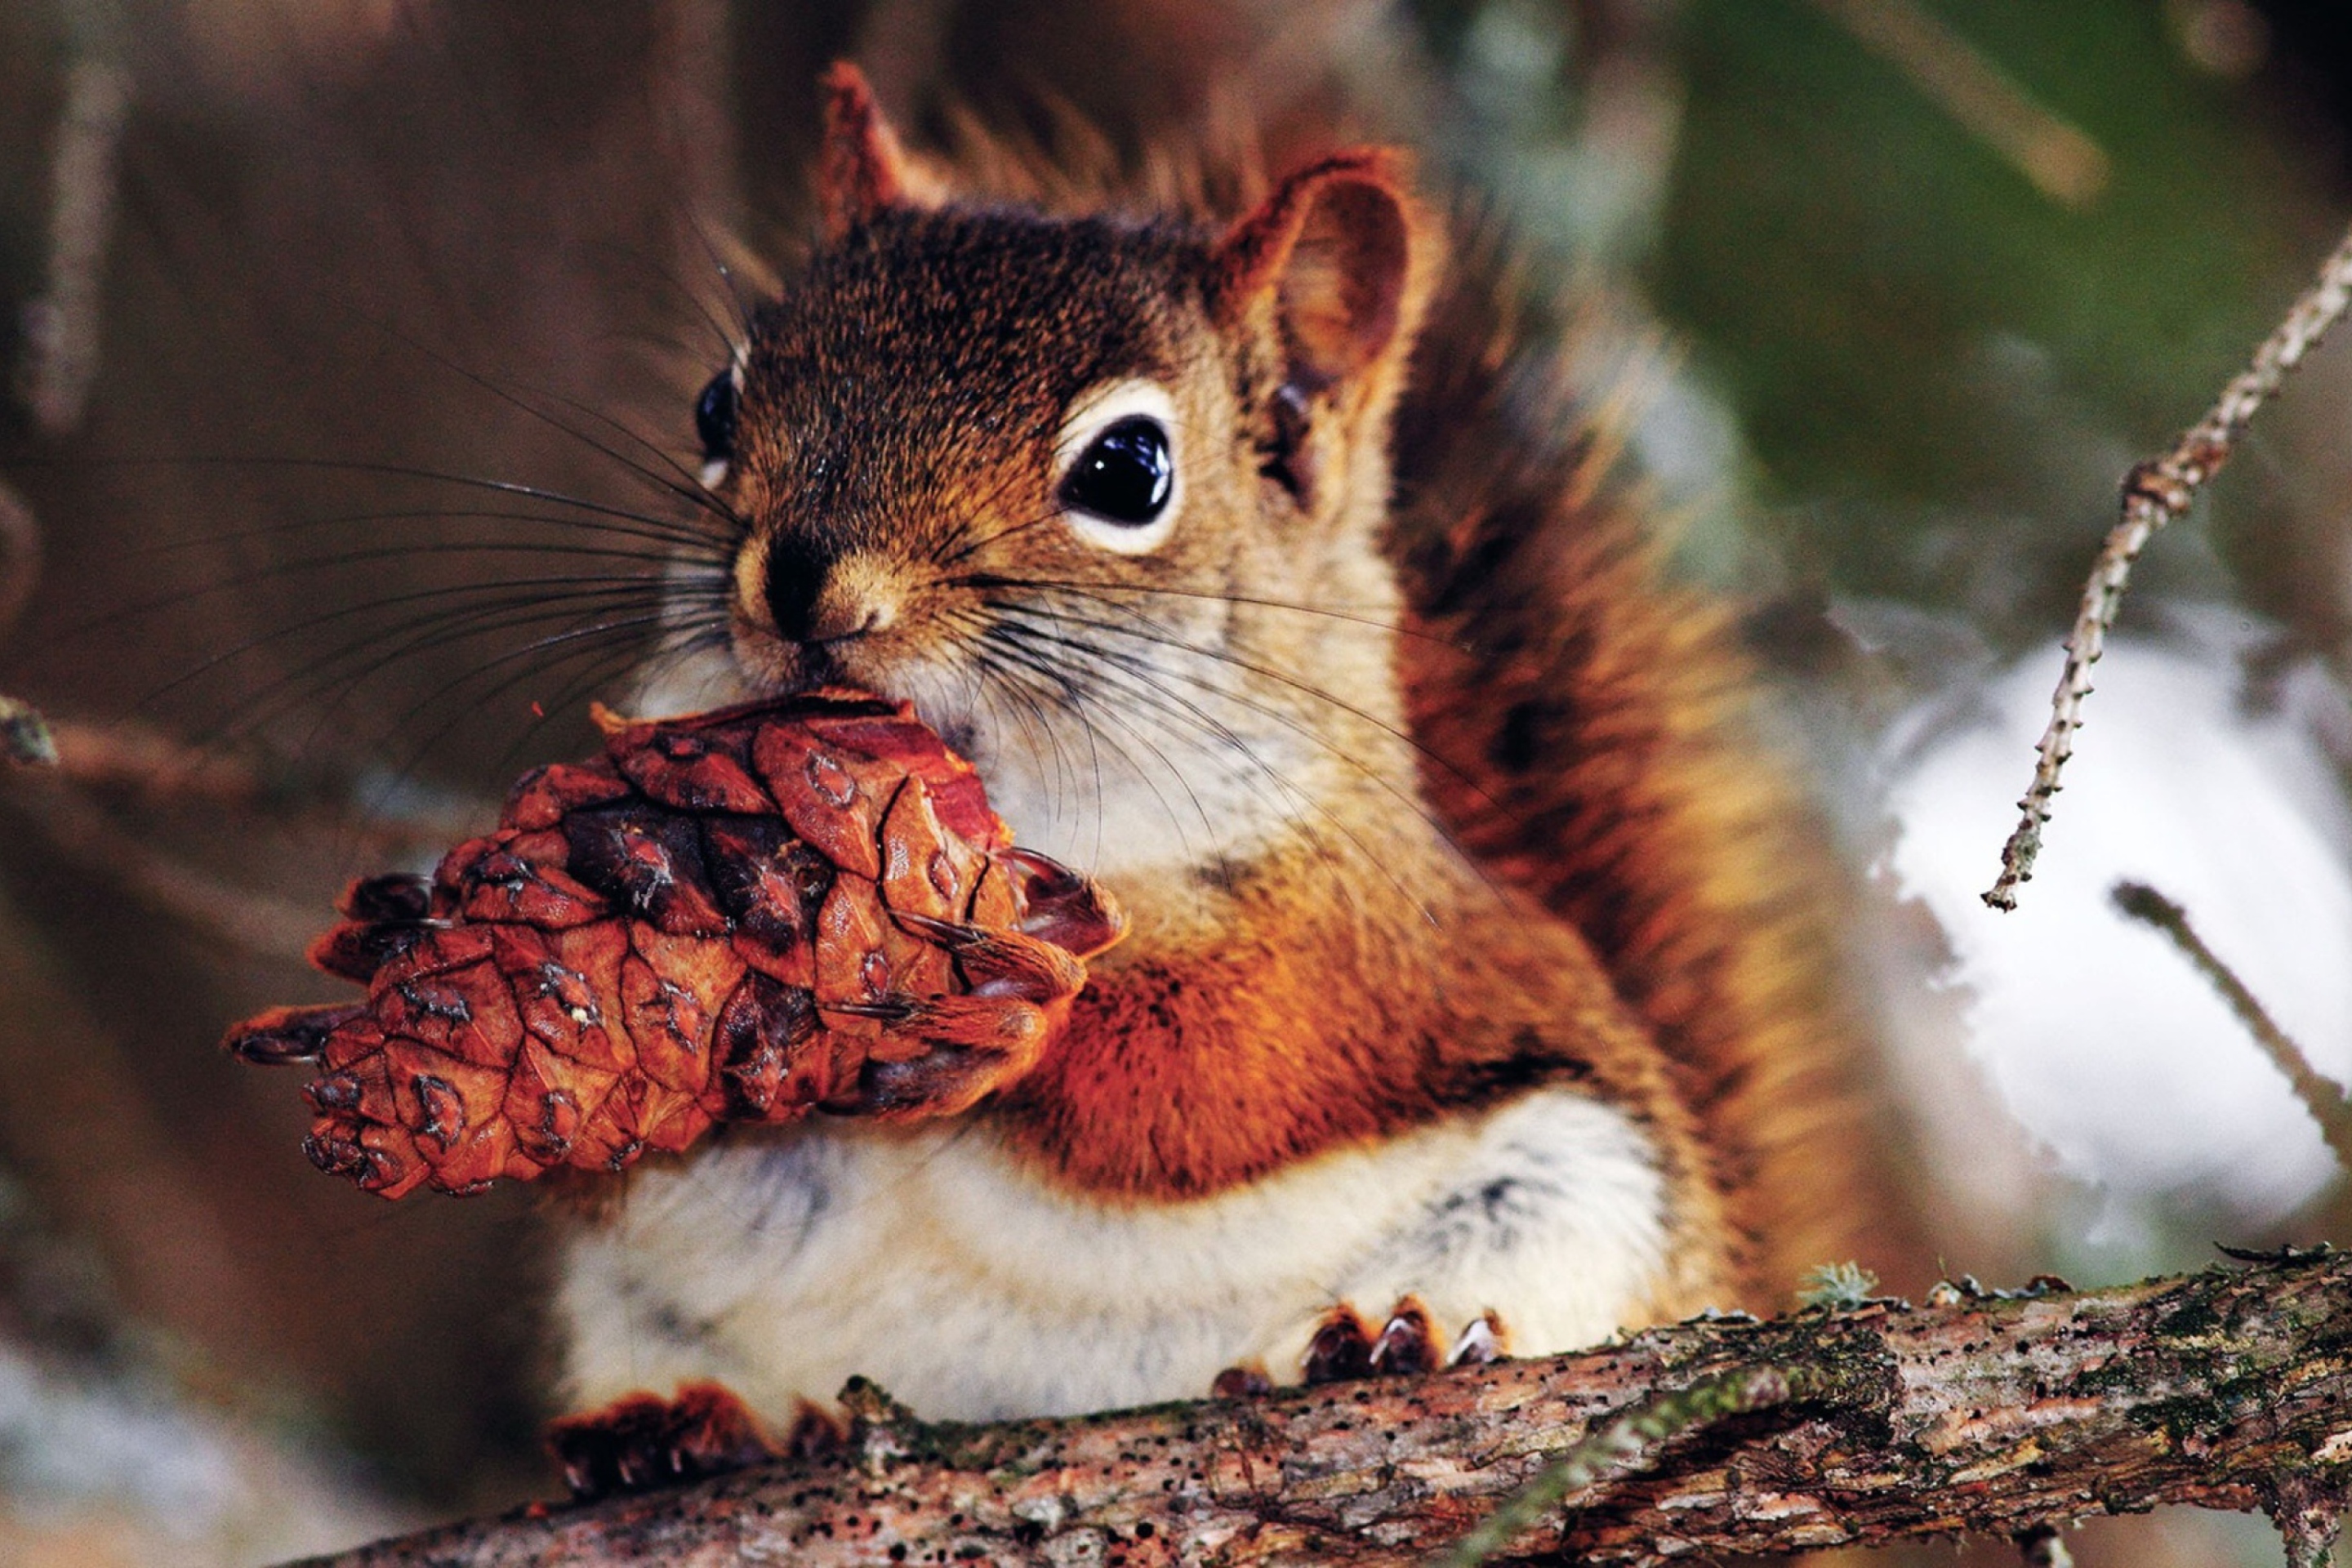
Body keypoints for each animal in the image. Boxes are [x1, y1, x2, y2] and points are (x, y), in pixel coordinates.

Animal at [546, 61, 1891, 1467]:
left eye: (1128, 470)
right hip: (635, 1298)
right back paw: (685, 1426)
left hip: (1582, 1193)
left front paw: (1025, 1009)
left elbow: (1220, 1071)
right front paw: (658, 892)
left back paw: (1388, 1337)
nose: (807, 585)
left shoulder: (1357, 945)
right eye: (716, 405)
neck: (1027, 823)